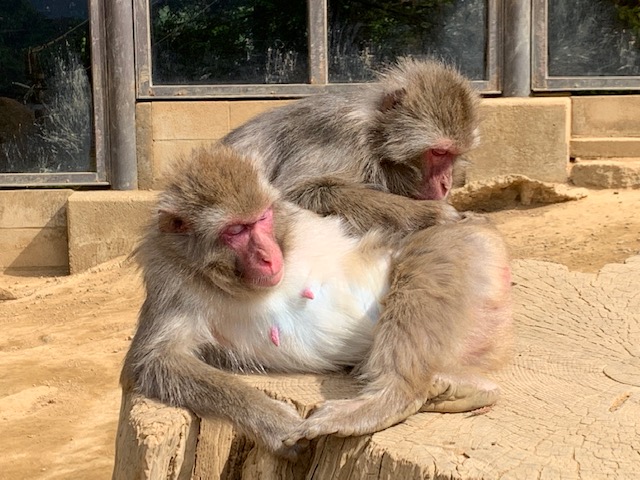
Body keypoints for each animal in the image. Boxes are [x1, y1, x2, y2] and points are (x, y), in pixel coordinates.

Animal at [122, 147, 512, 458]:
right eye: (235, 231)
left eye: (262, 219)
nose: (268, 257)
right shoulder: (170, 280)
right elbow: (156, 361)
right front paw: (273, 420)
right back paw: (465, 391)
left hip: (473, 247)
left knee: (424, 262)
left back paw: (389, 399)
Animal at [225, 57, 480, 235]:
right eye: (439, 152)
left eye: (453, 155)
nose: (446, 184)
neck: (371, 138)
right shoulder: (339, 139)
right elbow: (294, 193)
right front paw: (431, 214)